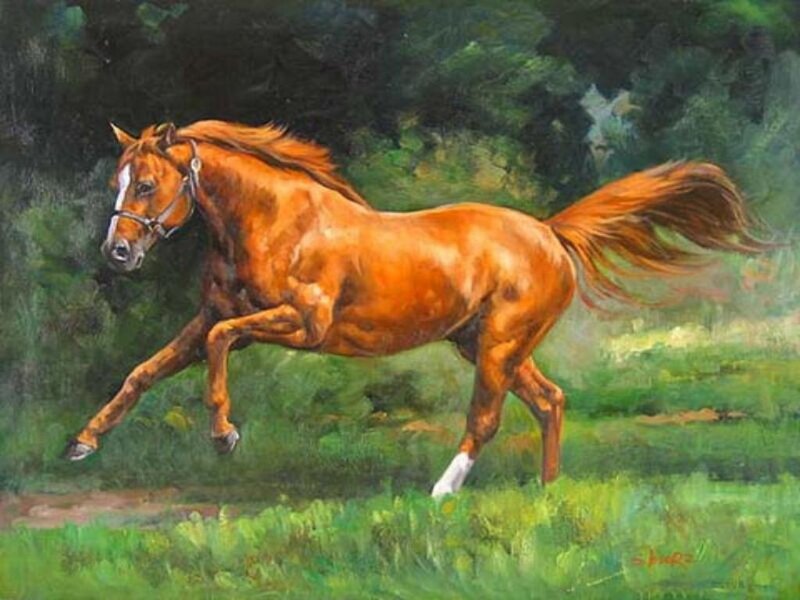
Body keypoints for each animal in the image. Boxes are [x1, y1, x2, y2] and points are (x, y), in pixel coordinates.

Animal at [64, 120, 768, 497]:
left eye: (146, 183)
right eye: (118, 182)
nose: (118, 251)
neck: (271, 222)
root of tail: (549, 232)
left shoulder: (303, 326)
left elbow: (218, 349)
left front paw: (225, 435)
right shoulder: (209, 317)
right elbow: (144, 372)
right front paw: (82, 443)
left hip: (500, 344)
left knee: (487, 417)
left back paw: (442, 491)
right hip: (486, 343)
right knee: (549, 401)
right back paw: (546, 491)